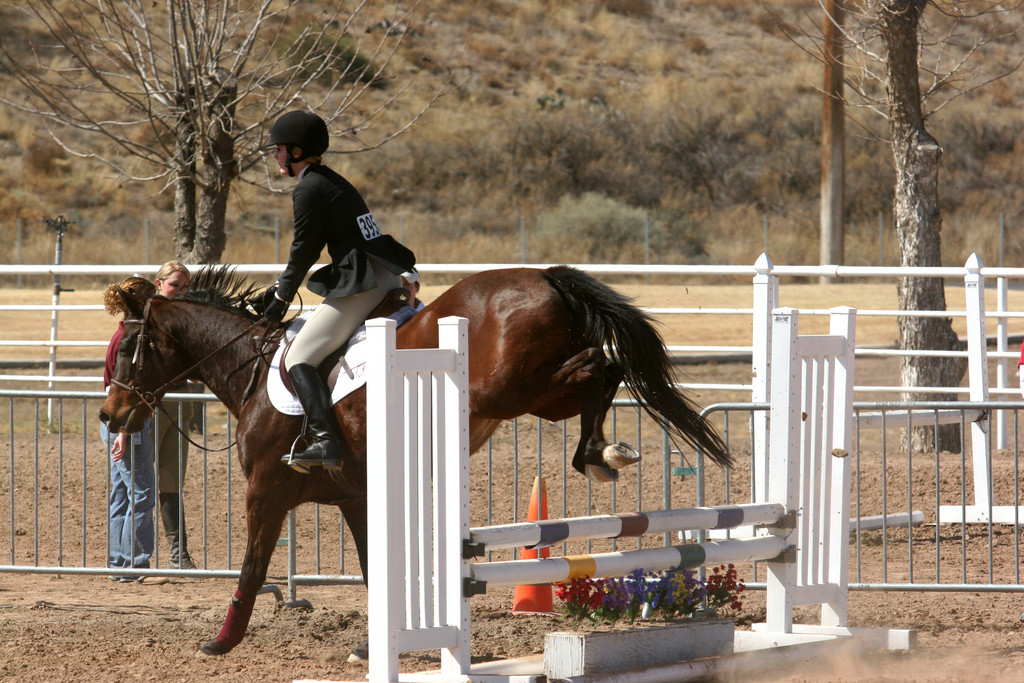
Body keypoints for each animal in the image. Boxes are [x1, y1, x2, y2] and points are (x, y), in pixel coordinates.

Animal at [97, 264, 729, 655]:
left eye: (128, 350)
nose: (109, 415)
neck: (250, 370)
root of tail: (546, 276)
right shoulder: (354, 497)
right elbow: (373, 571)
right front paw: (371, 646)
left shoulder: (267, 491)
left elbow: (252, 568)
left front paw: (221, 643)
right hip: (539, 400)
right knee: (600, 371)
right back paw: (600, 452)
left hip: (510, 389)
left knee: (602, 363)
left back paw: (599, 452)